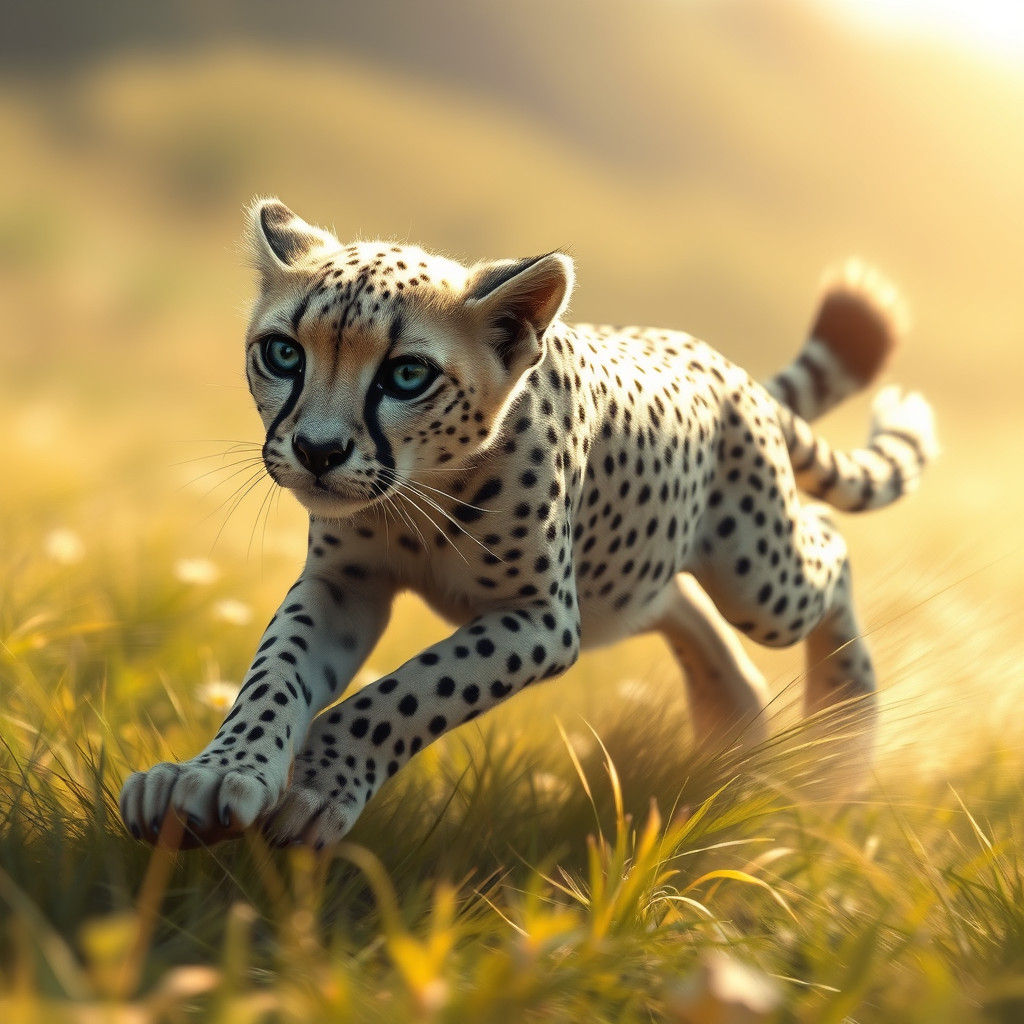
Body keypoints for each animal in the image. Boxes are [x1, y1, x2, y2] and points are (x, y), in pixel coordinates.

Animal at [119, 199, 937, 849]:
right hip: (628, 587)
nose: (319, 452)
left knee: (828, 545)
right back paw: (729, 727)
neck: (420, 491)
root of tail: (719, 362)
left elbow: (407, 694)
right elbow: (276, 673)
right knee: (683, 601)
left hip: (757, 581)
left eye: (407, 375)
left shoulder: (543, 618)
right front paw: (217, 773)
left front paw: (321, 783)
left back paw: (840, 735)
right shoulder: (344, 584)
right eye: (283, 353)